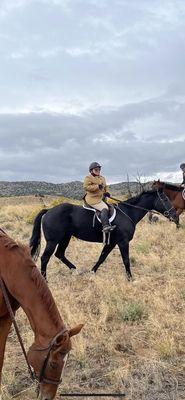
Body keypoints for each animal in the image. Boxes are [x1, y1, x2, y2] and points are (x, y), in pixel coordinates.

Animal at [29, 188, 177, 280]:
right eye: (165, 199)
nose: (175, 215)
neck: (128, 213)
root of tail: (48, 211)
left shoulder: (112, 243)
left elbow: (102, 257)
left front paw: (92, 272)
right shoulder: (123, 242)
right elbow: (126, 260)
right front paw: (130, 278)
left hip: (66, 238)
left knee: (60, 254)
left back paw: (76, 270)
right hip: (53, 241)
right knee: (45, 258)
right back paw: (45, 280)